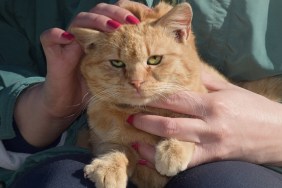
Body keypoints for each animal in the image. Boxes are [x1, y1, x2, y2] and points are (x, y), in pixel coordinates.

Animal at [71, 1, 282, 188]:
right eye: (117, 63)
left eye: (154, 59)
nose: (136, 82)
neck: (147, 110)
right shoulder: (98, 135)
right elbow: (116, 146)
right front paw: (109, 166)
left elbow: (187, 121)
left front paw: (173, 151)